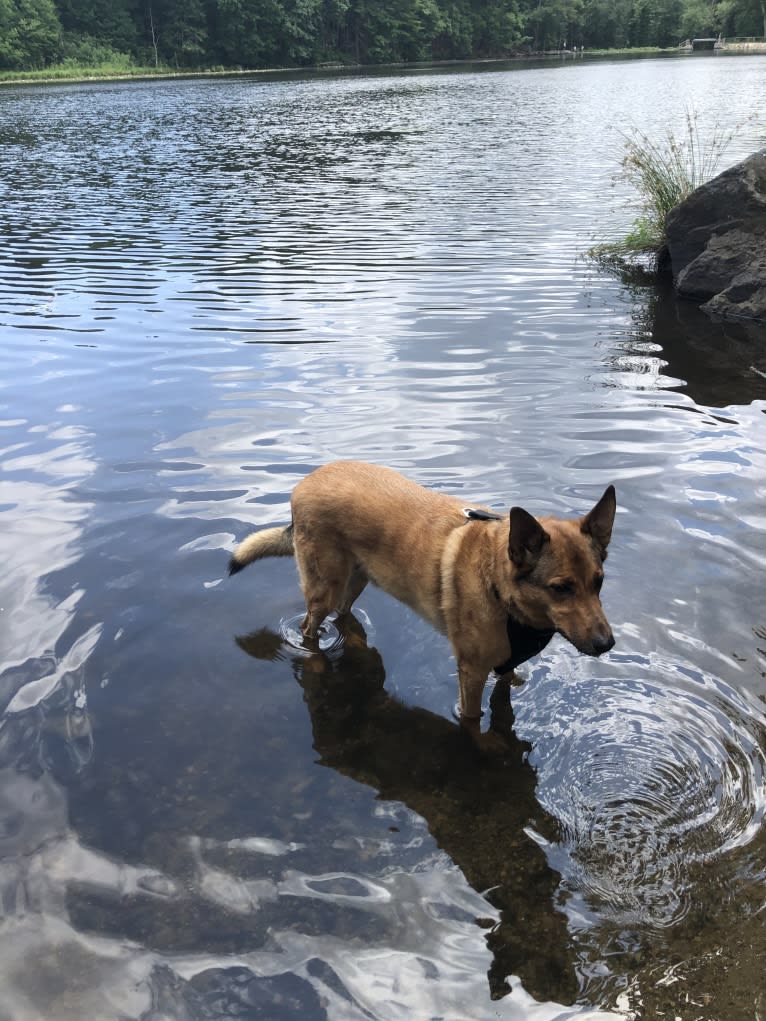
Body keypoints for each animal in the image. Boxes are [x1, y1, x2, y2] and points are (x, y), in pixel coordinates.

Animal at [229, 463, 616, 751]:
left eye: (598, 581)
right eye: (561, 588)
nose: (607, 644)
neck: (498, 584)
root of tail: (305, 483)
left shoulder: (505, 665)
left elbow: (504, 697)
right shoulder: (472, 673)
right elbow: (472, 721)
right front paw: (485, 748)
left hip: (357, 581)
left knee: (344, 617)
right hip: (324, 589)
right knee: (309, 630)